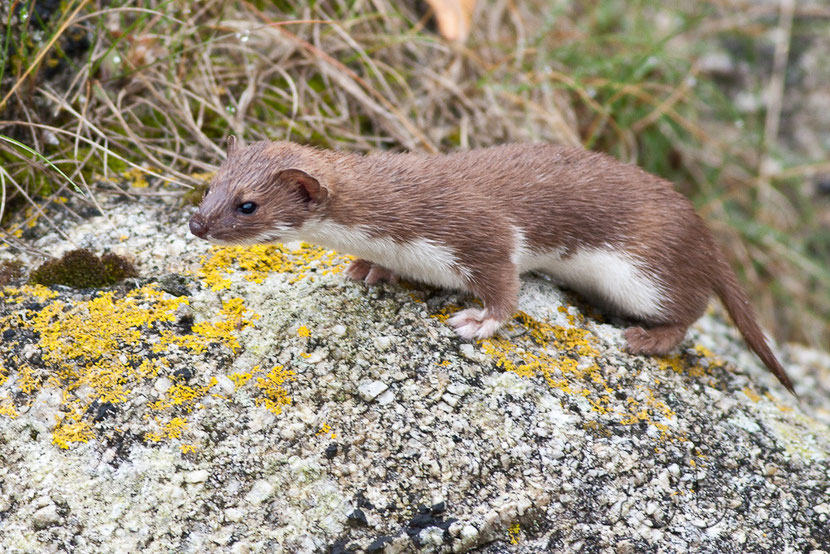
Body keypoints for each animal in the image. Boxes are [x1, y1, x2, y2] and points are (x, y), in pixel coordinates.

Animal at [190, 137, 800, 392]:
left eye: (248, 205)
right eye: (211, 185)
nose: (196, 224)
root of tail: (704, 232)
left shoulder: (479, 230)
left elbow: (505, 285)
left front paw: (479, 321)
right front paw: (369, 269)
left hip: (649, 270)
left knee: (689, 310)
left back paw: (644, 338)